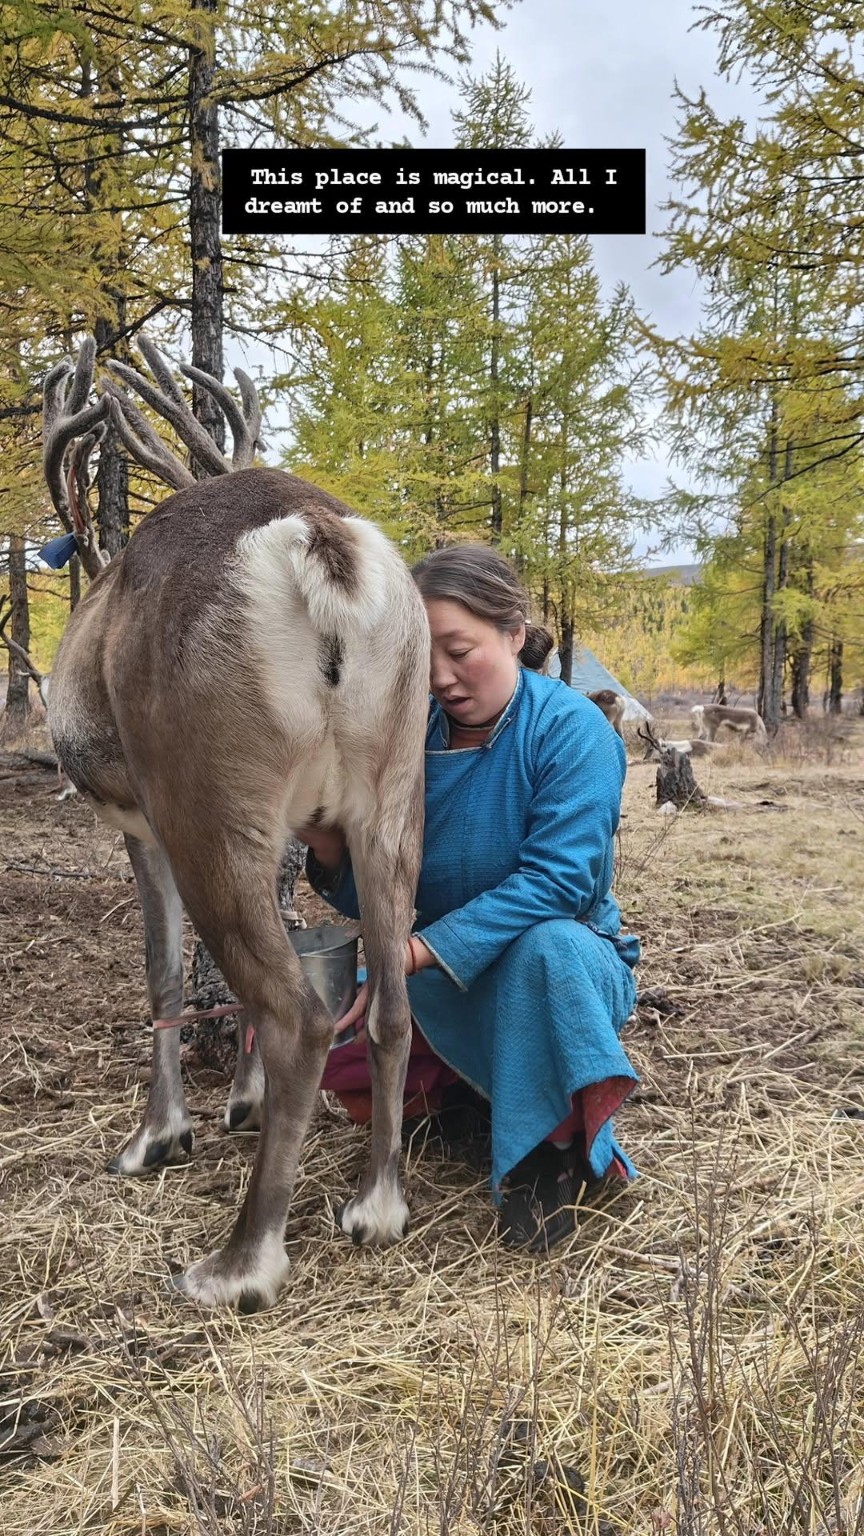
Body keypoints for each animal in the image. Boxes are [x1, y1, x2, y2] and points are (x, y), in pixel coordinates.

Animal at [42, 336, 430, 1311]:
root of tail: (317, 537)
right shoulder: (293, 827)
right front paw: (241, 1105)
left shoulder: (139, 824)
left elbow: (163, 976)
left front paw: (158, 1137)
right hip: (391, 795)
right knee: (389, 1002)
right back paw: (375, 1205)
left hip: (203, 803)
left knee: (299, 1014)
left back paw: (241, 1262)